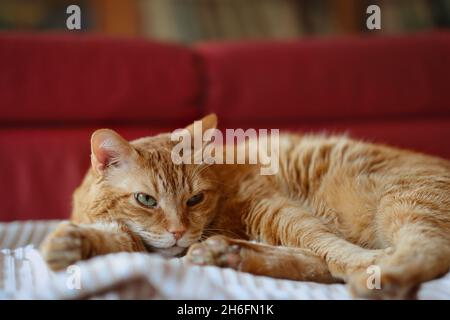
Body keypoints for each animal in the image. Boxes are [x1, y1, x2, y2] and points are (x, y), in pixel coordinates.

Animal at [39, 114, 450, 298]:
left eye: (195, 199)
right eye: (145, 200)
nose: (179, 232)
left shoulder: (271, 208)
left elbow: (326, 245)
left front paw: (366, 263)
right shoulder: (144, 242)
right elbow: (119, 239)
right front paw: (70, 244)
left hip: (405, 202)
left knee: (427, 251)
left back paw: (380, 278)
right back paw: (227, 253)